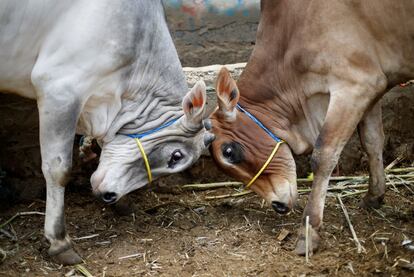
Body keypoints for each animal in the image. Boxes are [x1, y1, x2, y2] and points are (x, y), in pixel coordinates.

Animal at [0, 0, 213, 264]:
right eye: (176, 156)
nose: (109, 195)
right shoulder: (59, 88)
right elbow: (58, 170)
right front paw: (59, 241)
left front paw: (123, 203)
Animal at [210, 0, 414, 254]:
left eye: (229, 151)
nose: (278, 206)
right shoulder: (374, 86)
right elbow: (372, 141)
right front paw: (374, 196)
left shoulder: (354, 84)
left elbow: (323, 156)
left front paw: (308, 231)